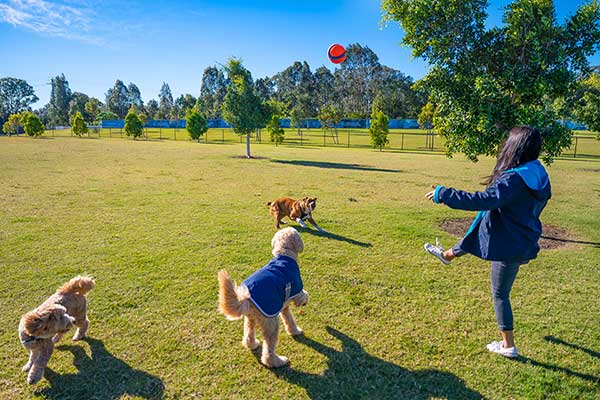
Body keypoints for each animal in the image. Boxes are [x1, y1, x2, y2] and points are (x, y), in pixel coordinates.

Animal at [217, 228, 310, 368]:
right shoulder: (296, 288)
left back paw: (253, 344)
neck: (284, 255)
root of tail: (246, 300)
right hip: (271, 323)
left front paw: (294, 330)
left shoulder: (283, 305)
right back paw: (278, 361)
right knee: (268, 352)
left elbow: (289, 319)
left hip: (250, 319)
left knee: (248, 335)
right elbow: (301, 296)